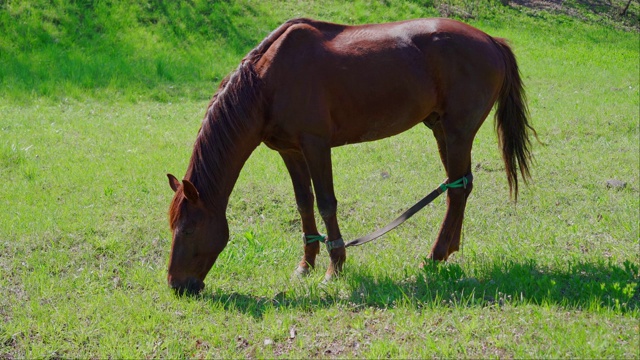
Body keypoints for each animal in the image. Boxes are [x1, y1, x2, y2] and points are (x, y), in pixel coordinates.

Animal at [165, 17, 536, 296]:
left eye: (188, 230)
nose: (176, 285)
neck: (267, 81)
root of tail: (491, 40)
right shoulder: (290, 151)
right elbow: (304, 203)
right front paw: (306, 265)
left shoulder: (315, 146)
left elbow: (326, 203)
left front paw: (335, 267)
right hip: (441, 129)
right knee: (457, 187)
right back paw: (446, 251)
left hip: (458, 131)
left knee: (458, 190)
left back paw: (434, 256)